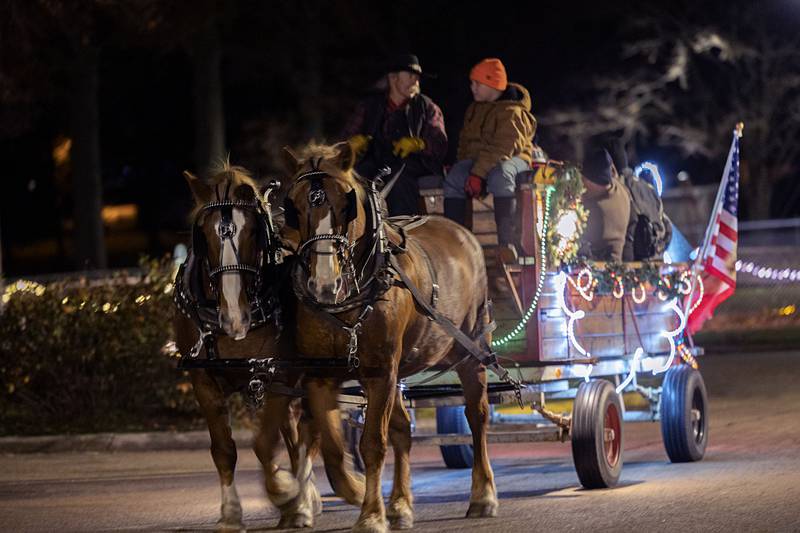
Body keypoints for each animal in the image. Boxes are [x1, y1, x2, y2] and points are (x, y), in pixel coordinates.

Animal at [177, 165, 324, 528]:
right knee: (295, 434)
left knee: (308, 434)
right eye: (204, 234)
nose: (235, 316)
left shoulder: (278, 375)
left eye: (254, 232)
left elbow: (265, 445)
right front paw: (231, 513)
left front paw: (286, 493)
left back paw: (305, 499)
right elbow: (224, 449)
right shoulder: (202, 381)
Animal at [282, 142, 500, 532]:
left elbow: (372, 442)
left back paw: (483, 495)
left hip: (470, 351)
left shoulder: (380, 371)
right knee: (402, 430)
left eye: (346, 204)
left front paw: (370, 513)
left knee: (477, 416)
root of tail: (461, 232)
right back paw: (400, 505)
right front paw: (333, 496)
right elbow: (326, 442)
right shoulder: (320, 375)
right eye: (293, 206)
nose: (323, 283)